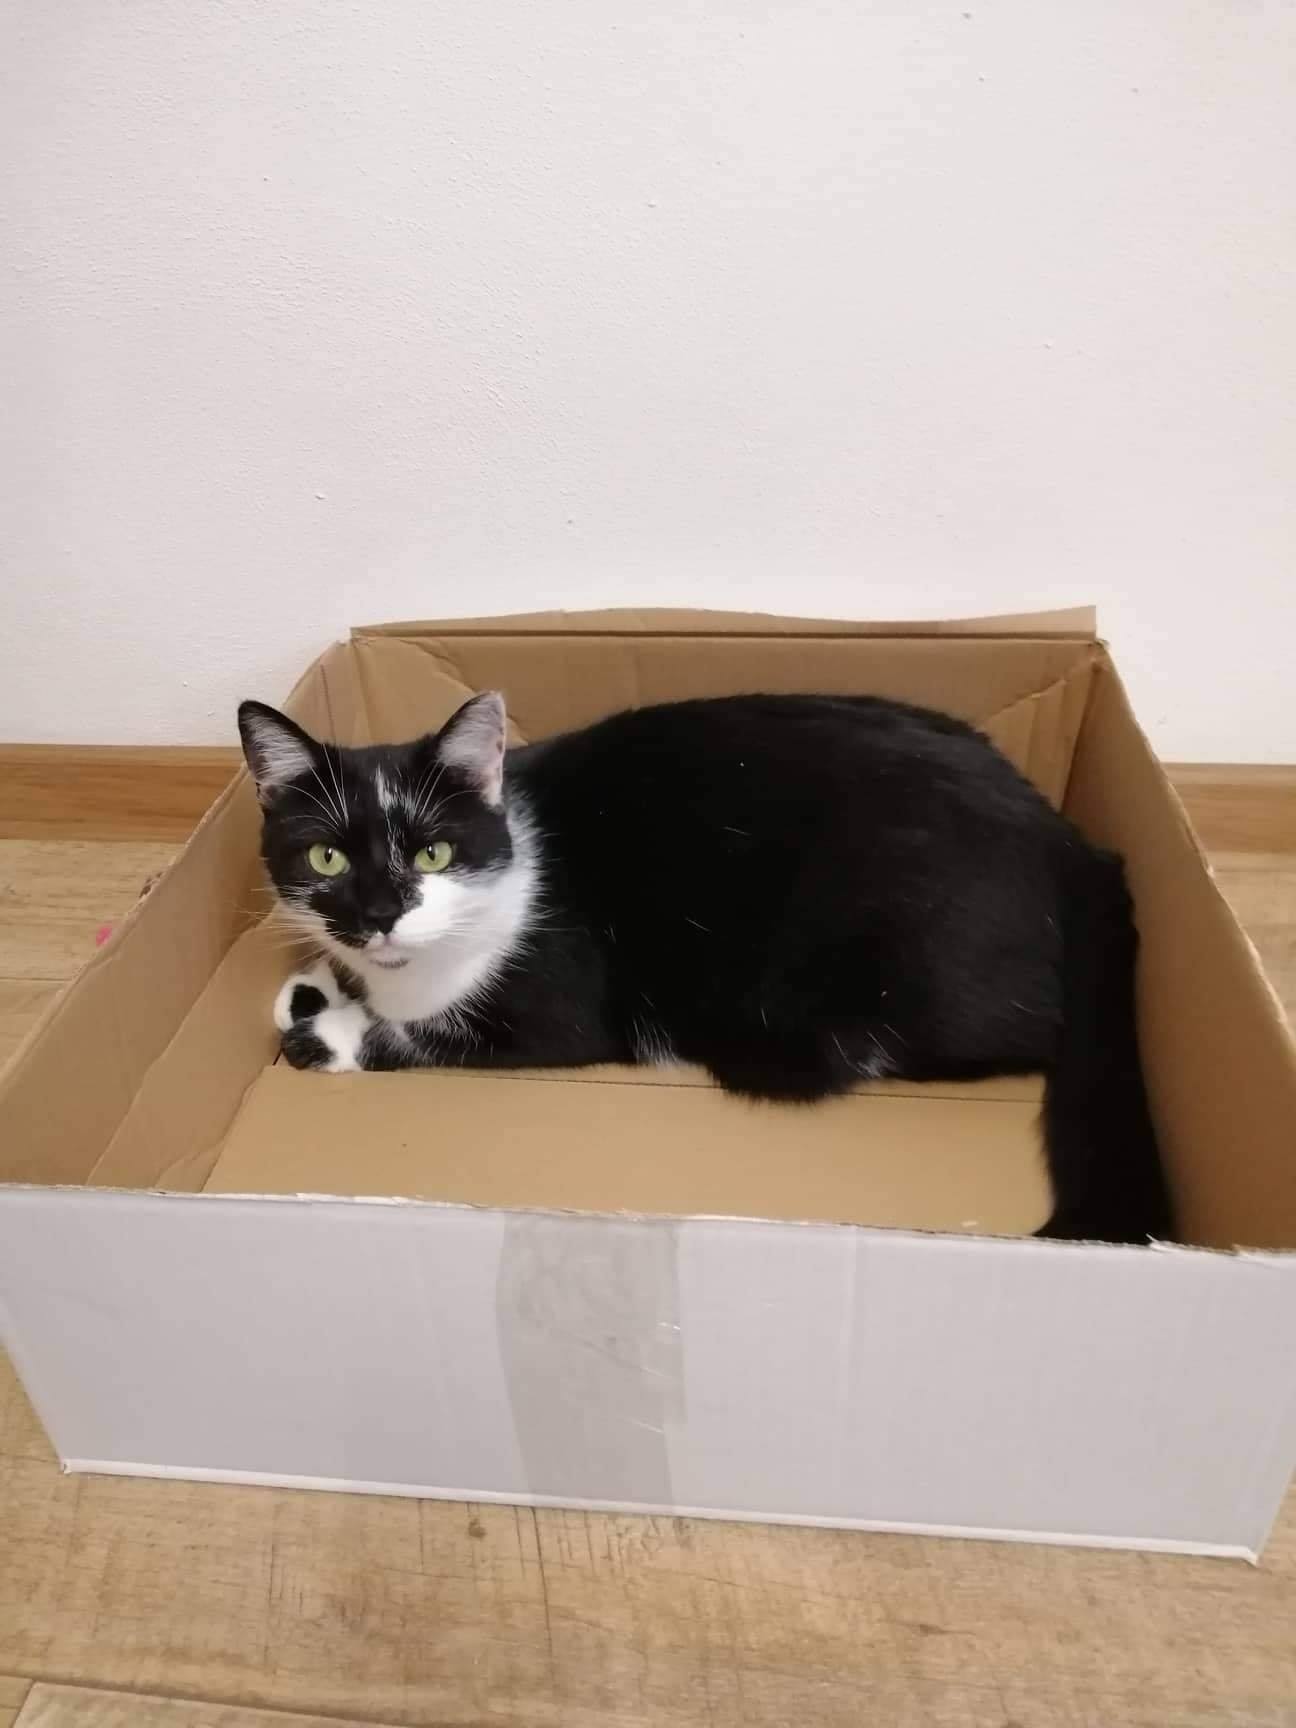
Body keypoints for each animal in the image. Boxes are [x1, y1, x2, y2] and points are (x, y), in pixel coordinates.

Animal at [238, 688, 1173, 1245]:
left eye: (433, 852)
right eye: (325, 858)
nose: (377, 915)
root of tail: (1074, 845)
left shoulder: (552, 1000)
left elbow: (426, 1031)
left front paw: (327, 1030)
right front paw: (316, 985)